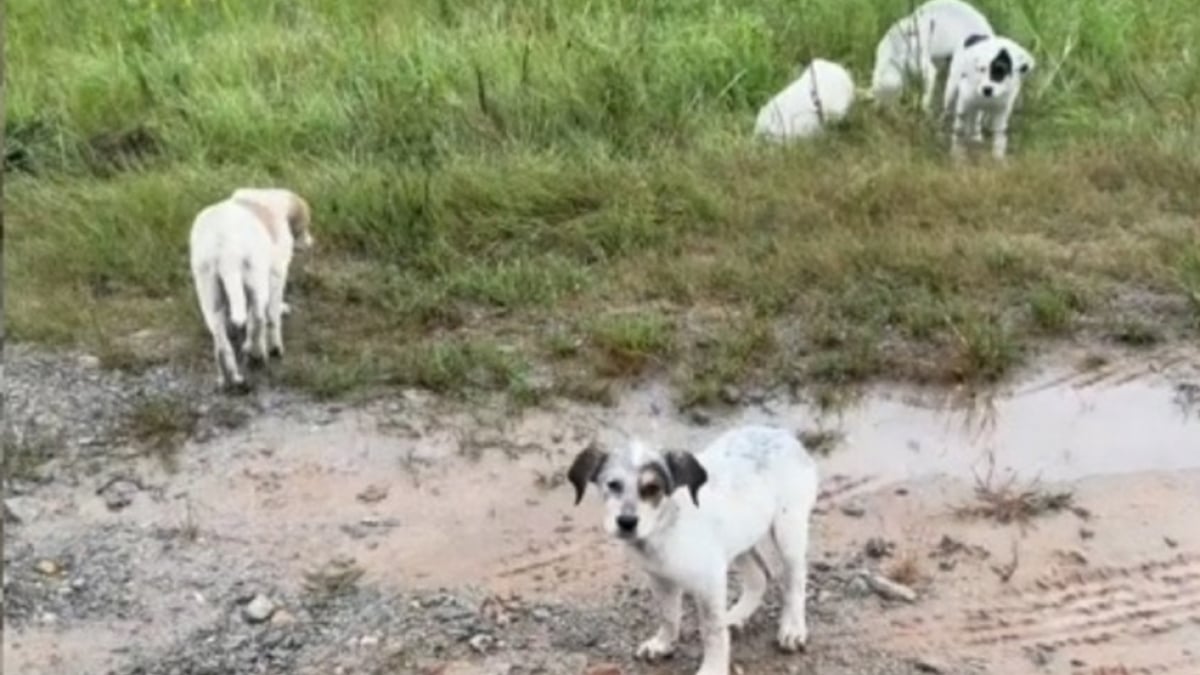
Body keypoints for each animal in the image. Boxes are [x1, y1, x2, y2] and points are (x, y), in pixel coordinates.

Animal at [187, 186, 314, 391]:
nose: (311, 242)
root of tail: (224, 248)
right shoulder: (277, 272)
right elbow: (272, 315)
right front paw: (275, 345)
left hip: (209, 293)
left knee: (221, 343)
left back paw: (230, 379)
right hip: (256, 280)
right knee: (259, 319)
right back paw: (258, 355)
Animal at [566, 422, 820, 672]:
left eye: (653, 488)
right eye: (613, 485)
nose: (626, 522)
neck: (665, 528)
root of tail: (782, 433)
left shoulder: (710, 581)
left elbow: (712, 631)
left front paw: (713, 668)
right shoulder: (660, 579)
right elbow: (668, 615)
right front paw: (663, 644)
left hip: (788, 530)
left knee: (795, 581)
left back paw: (793, 628)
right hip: (740, 537)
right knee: (759, 577)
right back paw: (736, 616)